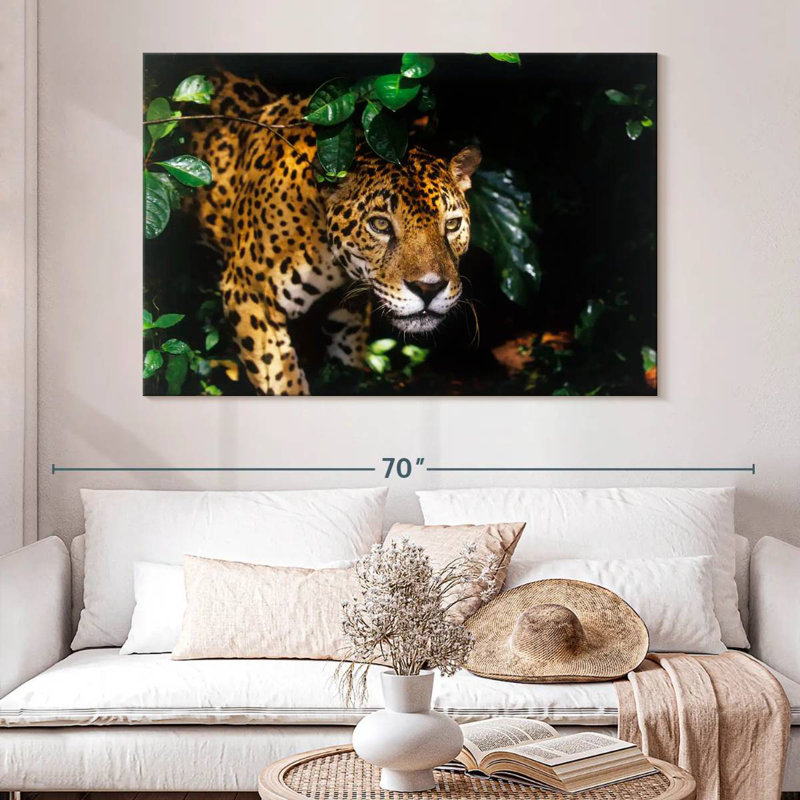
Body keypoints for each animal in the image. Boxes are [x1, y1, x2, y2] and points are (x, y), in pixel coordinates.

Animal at [185, 71, 481, 395]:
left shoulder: (349, 311)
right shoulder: (248, 295)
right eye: (380, 225)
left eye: (451, 225)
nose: (429, 288)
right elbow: (284, 380)